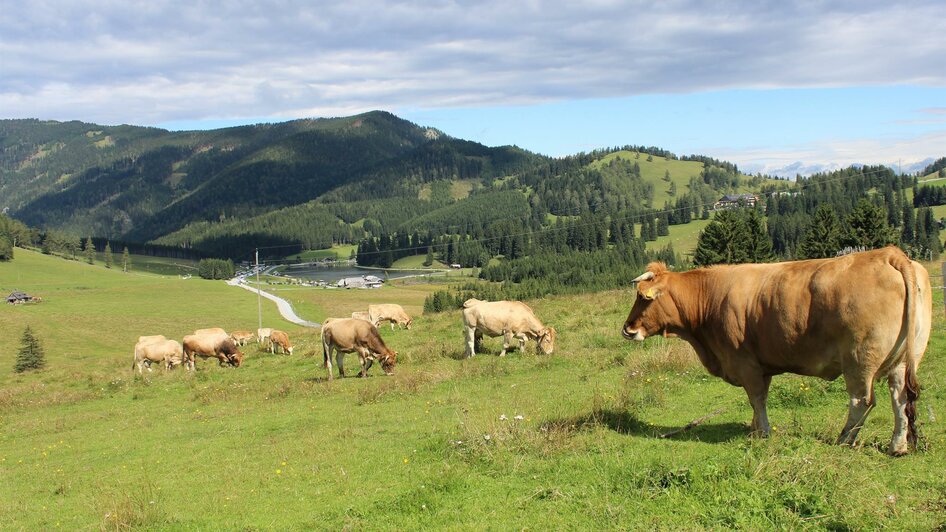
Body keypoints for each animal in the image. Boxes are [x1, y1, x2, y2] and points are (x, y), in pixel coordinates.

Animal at [620, 247, 928, 456]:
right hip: (903, 360)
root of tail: (888, 254)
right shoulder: (761, 365)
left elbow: (756, 399)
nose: (628, 328)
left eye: (643, 297)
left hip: (858, 361)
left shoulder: (746, 364)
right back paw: (897, 446)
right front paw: (754, 429)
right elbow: (759, 401)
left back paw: (844, 440)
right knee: (900, 398)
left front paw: (764, 433)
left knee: (862, 401)